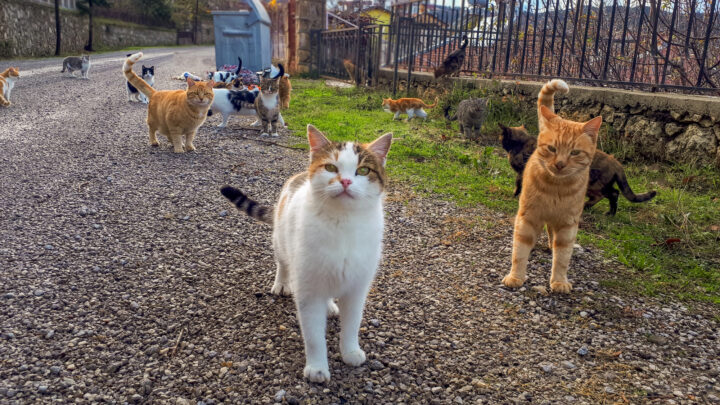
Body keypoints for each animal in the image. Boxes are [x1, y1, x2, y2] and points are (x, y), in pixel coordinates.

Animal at [504, 79, 604, 294]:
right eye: (552, 148)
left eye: (575, 152)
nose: (560, 164)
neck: (555, 188)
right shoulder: (527, 217)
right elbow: (519, 252)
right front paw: (516, 277)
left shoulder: (568, 225)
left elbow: (562, 258)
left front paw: (559, 281)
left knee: (552, 234)